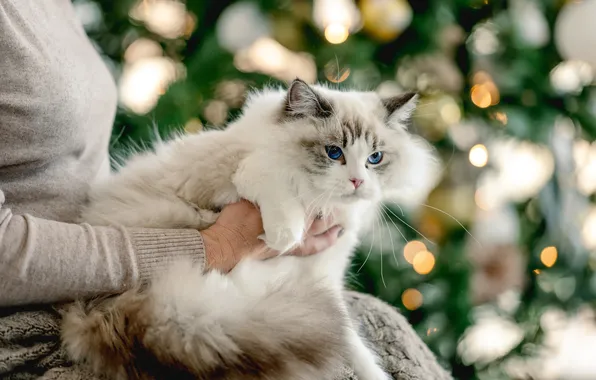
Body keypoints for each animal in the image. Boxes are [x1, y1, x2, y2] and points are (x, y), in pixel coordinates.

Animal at [60, 79, 440, 380]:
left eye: (375, 158)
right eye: (334, 153)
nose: (358, 181)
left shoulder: (324, 278)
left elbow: (357, 347)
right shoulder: (241, 173)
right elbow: (274, 182)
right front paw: (286, 234)